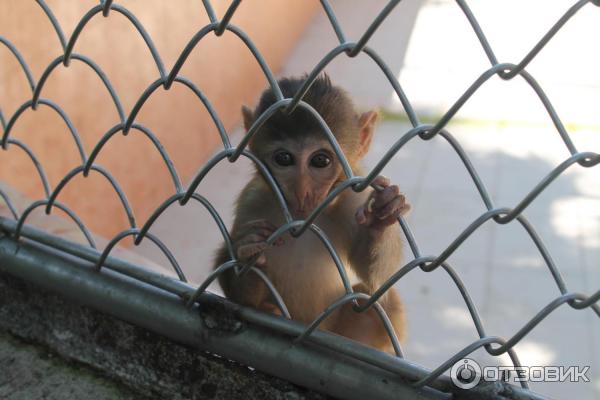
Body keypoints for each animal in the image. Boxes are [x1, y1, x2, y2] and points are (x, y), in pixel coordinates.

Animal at [213, 73, 410, 352]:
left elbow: (377, 280)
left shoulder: (352, 200)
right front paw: (247, 253)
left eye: (320, 160)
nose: (301, 191)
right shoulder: (252, 202)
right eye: (284, 158)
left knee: (372, 304)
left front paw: (380, 218)